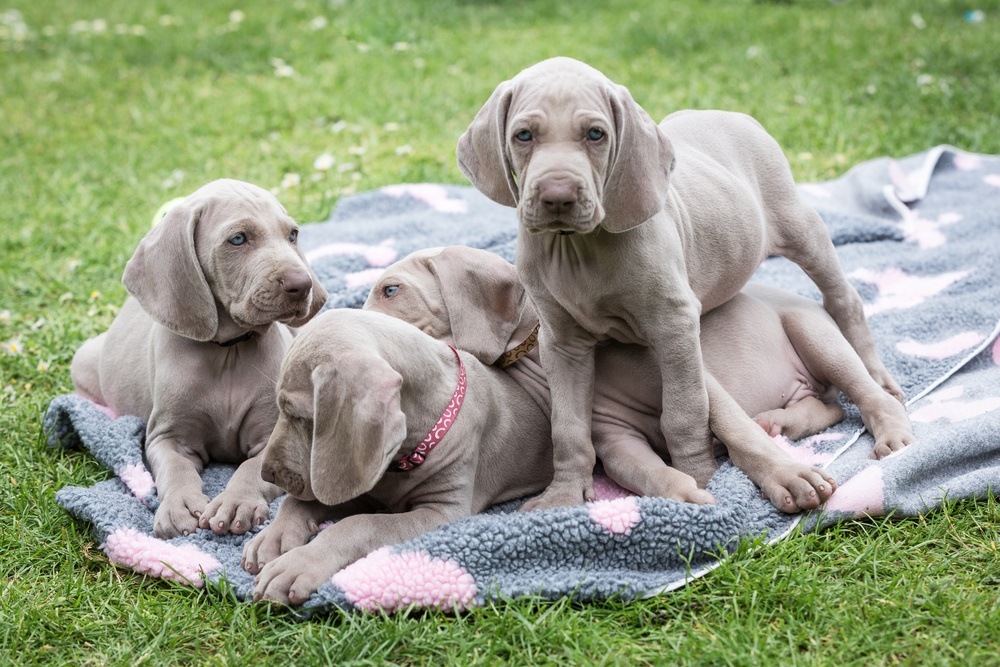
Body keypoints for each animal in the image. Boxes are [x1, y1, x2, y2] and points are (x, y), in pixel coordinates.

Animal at [70, 180, 328, 540]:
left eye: (292, 235)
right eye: (238, 239)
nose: (301, 284)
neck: (228, 351)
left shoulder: (273, 438)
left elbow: (251, 469)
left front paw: (236, 502)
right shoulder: (167, 437)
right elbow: (176, 468)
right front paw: (179, 505)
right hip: (83, 360)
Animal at [244, 308, 556, 604]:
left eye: (297, 414)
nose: (266, 474)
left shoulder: (442, 512)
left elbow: (360, 524)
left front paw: (298, 564)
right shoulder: (358, 477)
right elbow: (298, 503)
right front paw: (272, 538)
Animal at [368, 248, 916, 516]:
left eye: (390, 290)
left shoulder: (684, 363)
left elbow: (733, 427)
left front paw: (787, 477)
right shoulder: (611, 437)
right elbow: (645, 472)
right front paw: (686, 495)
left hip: (812, 331)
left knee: (864, 395)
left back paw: (889, 432)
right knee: (826, 406)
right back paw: (781, 420)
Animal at [460, 57, 908, 508]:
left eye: (595, 134)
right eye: (523, 135)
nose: (557, 195)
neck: (579, 249)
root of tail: (729, 113)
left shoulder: (672, 325)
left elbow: (687, 412)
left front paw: (704, 477)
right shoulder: (563, 344)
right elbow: (568, 427)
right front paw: (565, 494)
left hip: (800, 232)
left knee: (845, 308)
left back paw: (885, 404)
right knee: (828, 403)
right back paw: (779, 421)